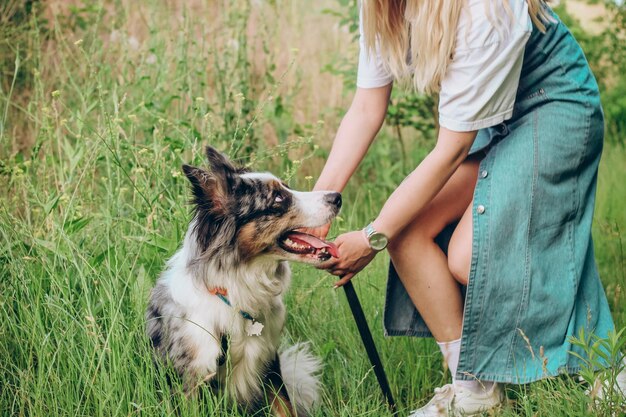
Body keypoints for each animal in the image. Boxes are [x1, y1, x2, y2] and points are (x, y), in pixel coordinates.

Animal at [145, 145, 342, 414]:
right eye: (278, 198)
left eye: (287, 187)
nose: (338, 196)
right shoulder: (191, 377)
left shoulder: (270, 364)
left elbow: (285, 407)